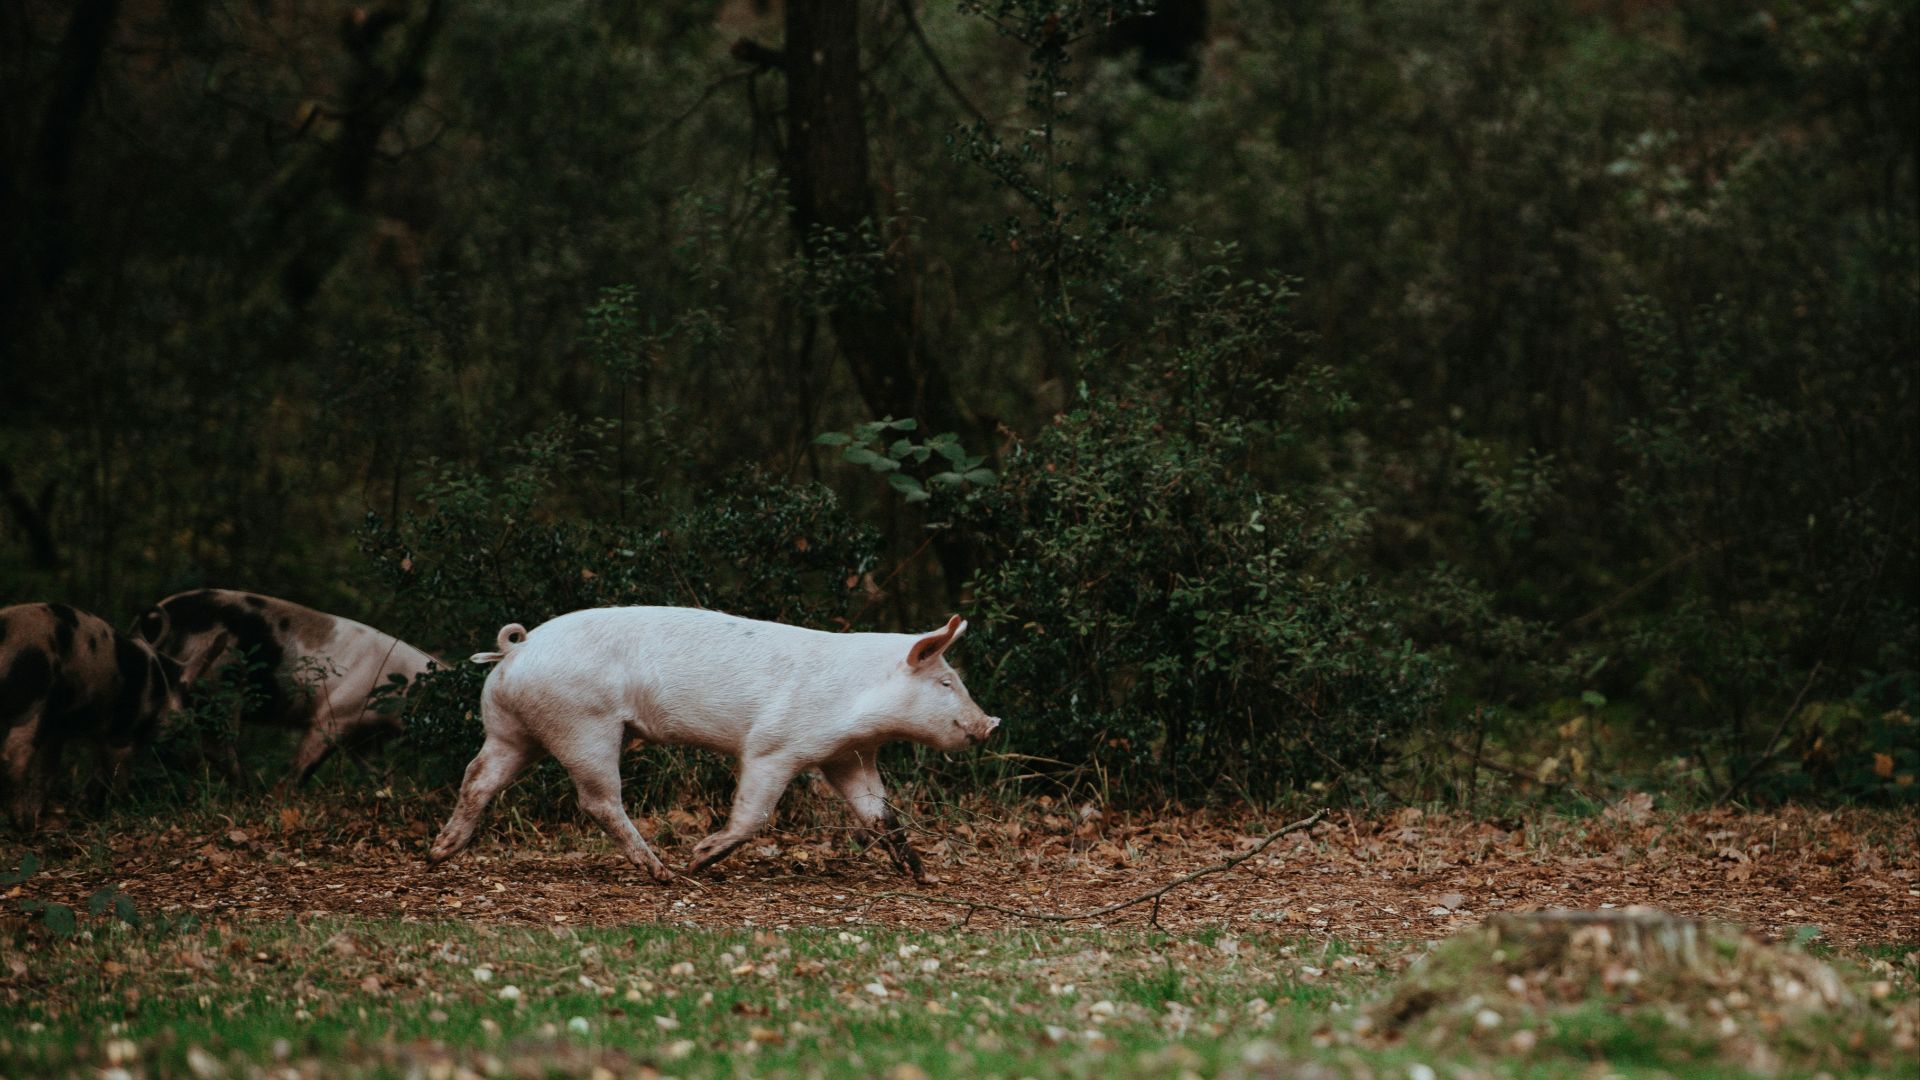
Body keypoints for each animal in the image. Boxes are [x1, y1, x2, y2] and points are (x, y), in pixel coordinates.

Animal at [0, 602, 184, 832]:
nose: (178, 722)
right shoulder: (120, 730)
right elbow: (115, 768)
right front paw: (118, 807)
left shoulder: (58, 728)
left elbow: (48, 770)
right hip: (34, 698)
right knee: (16, 754)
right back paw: (24, 825)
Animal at [133, 589, 437, 790]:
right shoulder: (333, 715)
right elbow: (304, 764)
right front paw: (284, 799)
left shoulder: (364, 737)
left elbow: (377, 772)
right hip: (221, 685)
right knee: (215, 746)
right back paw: (246, 794)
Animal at [428, 607, 1001, 882]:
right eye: (946, 682)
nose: (991, 723)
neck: (858, 703)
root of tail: (518, 650)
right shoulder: (773, 747)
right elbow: (755, 813)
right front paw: (699, 858)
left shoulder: (848, 757)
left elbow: (881, 814)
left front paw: (922, 876)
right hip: (584, 725)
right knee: (598, 800)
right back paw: (666, 874)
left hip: (512, 730)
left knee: (477, 776)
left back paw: (438, 853)